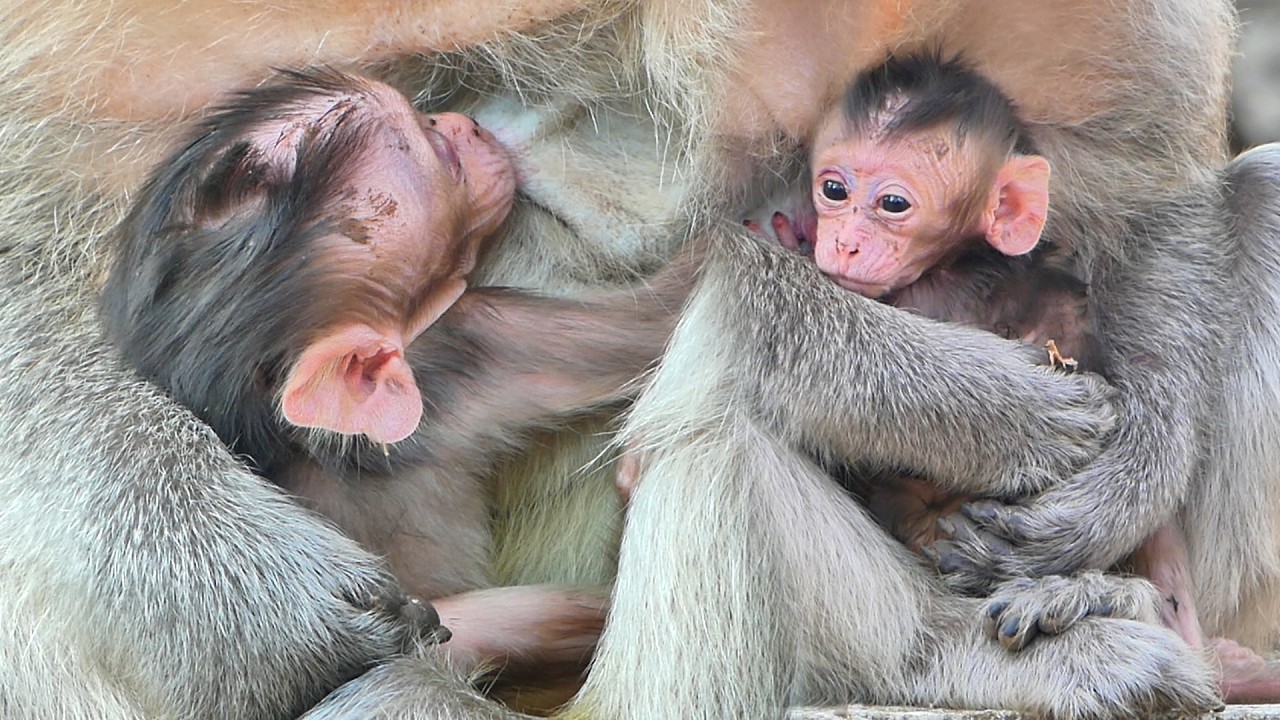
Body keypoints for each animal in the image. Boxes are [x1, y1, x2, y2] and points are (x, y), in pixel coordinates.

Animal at [0, 1, 1274, 719]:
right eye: (841, 191)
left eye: (889, 200)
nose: (454, 134)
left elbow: (1126, 176)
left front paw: (1119, 482)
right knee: (714, 441)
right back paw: (942, 662)